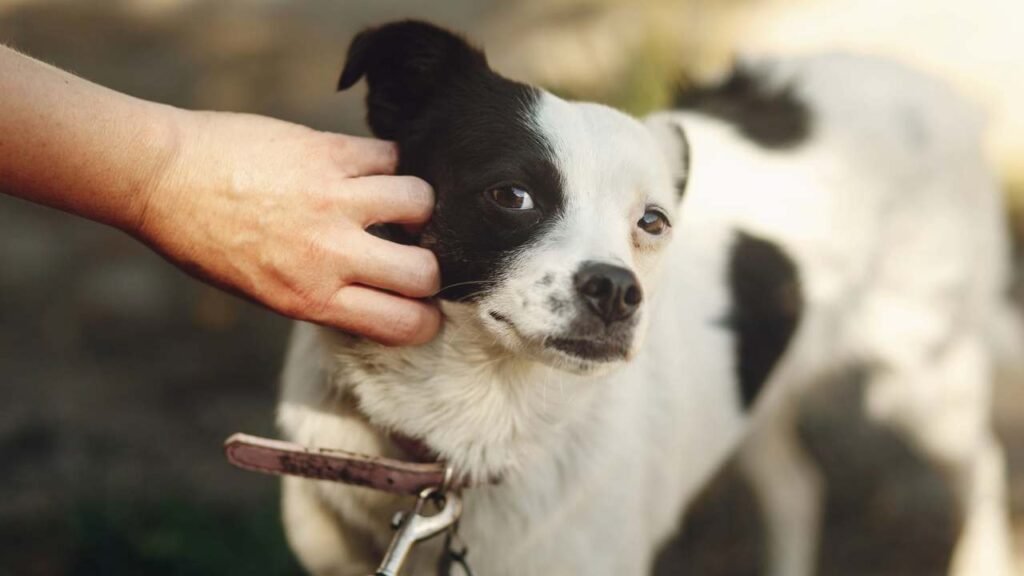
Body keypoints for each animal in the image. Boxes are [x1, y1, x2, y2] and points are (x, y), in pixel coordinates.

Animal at [276, 20, 1019, 569]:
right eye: (511, 195)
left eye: (653, 221)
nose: (616, 292)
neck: (476, 430)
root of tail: (937, 89)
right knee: (798, 490)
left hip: (927, 381)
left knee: (984, 470)